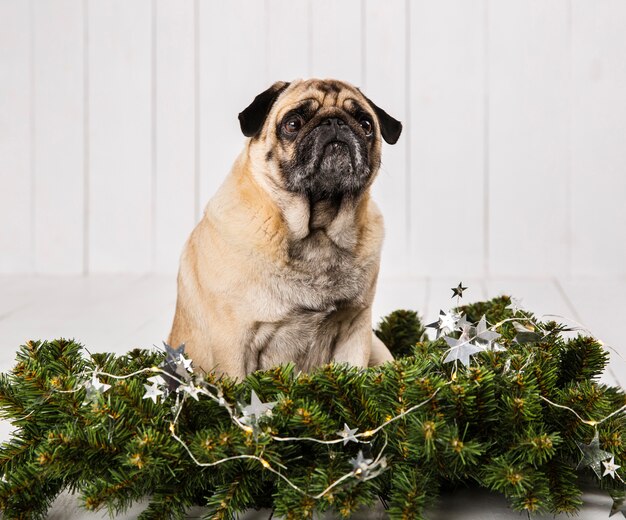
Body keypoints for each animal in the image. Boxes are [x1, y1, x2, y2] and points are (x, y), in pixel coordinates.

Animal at [168, 78, 400, 378]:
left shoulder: (355, 329)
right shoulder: (233, 344)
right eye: (292, 123)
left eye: (366, 124)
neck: (318, 229)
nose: (335, 121)